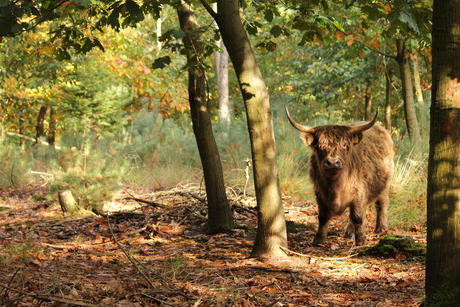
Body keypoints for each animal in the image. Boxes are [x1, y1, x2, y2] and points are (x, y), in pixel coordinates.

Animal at [286, 107, 394, 247]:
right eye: (320, 146)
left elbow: (358, 217)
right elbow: (322, 216)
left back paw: (381, 229)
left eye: (345, 145)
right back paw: (349, 232)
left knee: (381, 204)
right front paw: (318, 240)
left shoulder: (358, 191)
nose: (332, 162)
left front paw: (361, 241)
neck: (335, 185)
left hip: (384, 184)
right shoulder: (319, 191)